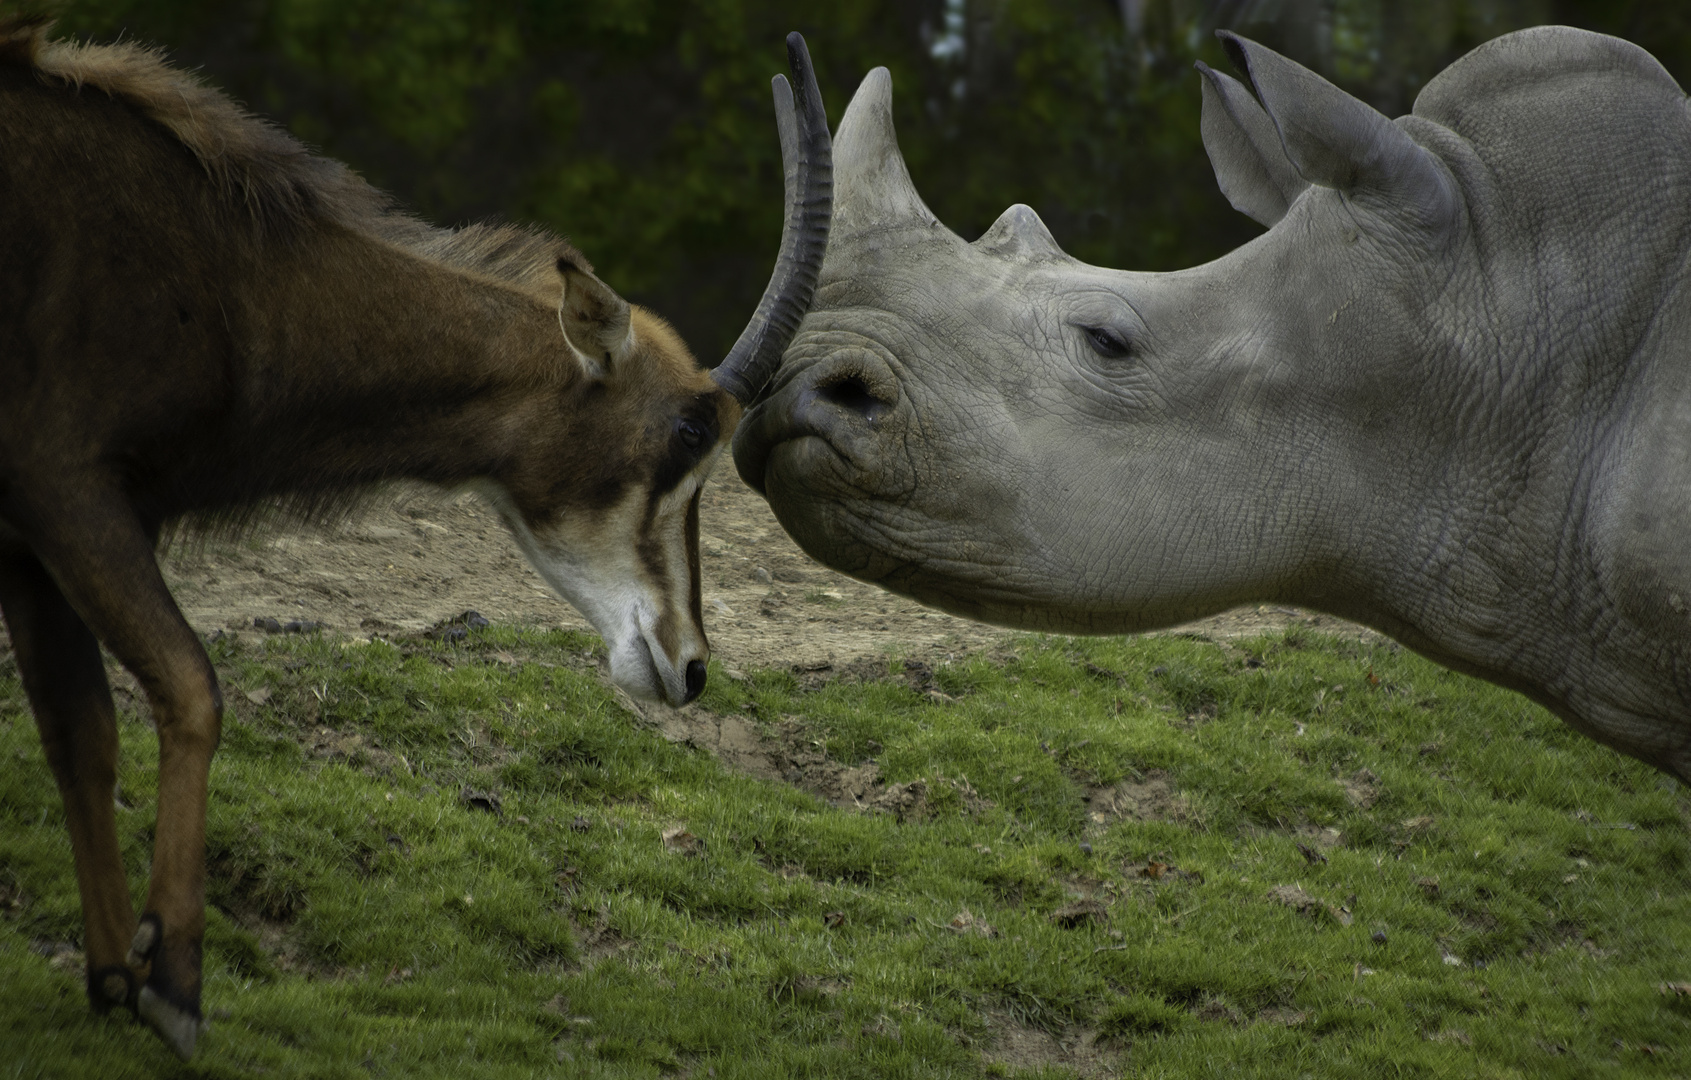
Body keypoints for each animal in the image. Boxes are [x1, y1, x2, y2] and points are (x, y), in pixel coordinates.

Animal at [0, 16, 831, 1061]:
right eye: (687, 433)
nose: (689, 668)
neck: (235, 284)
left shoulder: (31, 541)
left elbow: (82, 730)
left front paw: (115, 974)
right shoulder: (65, 488)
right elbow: (190, 688)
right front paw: (175, 984)